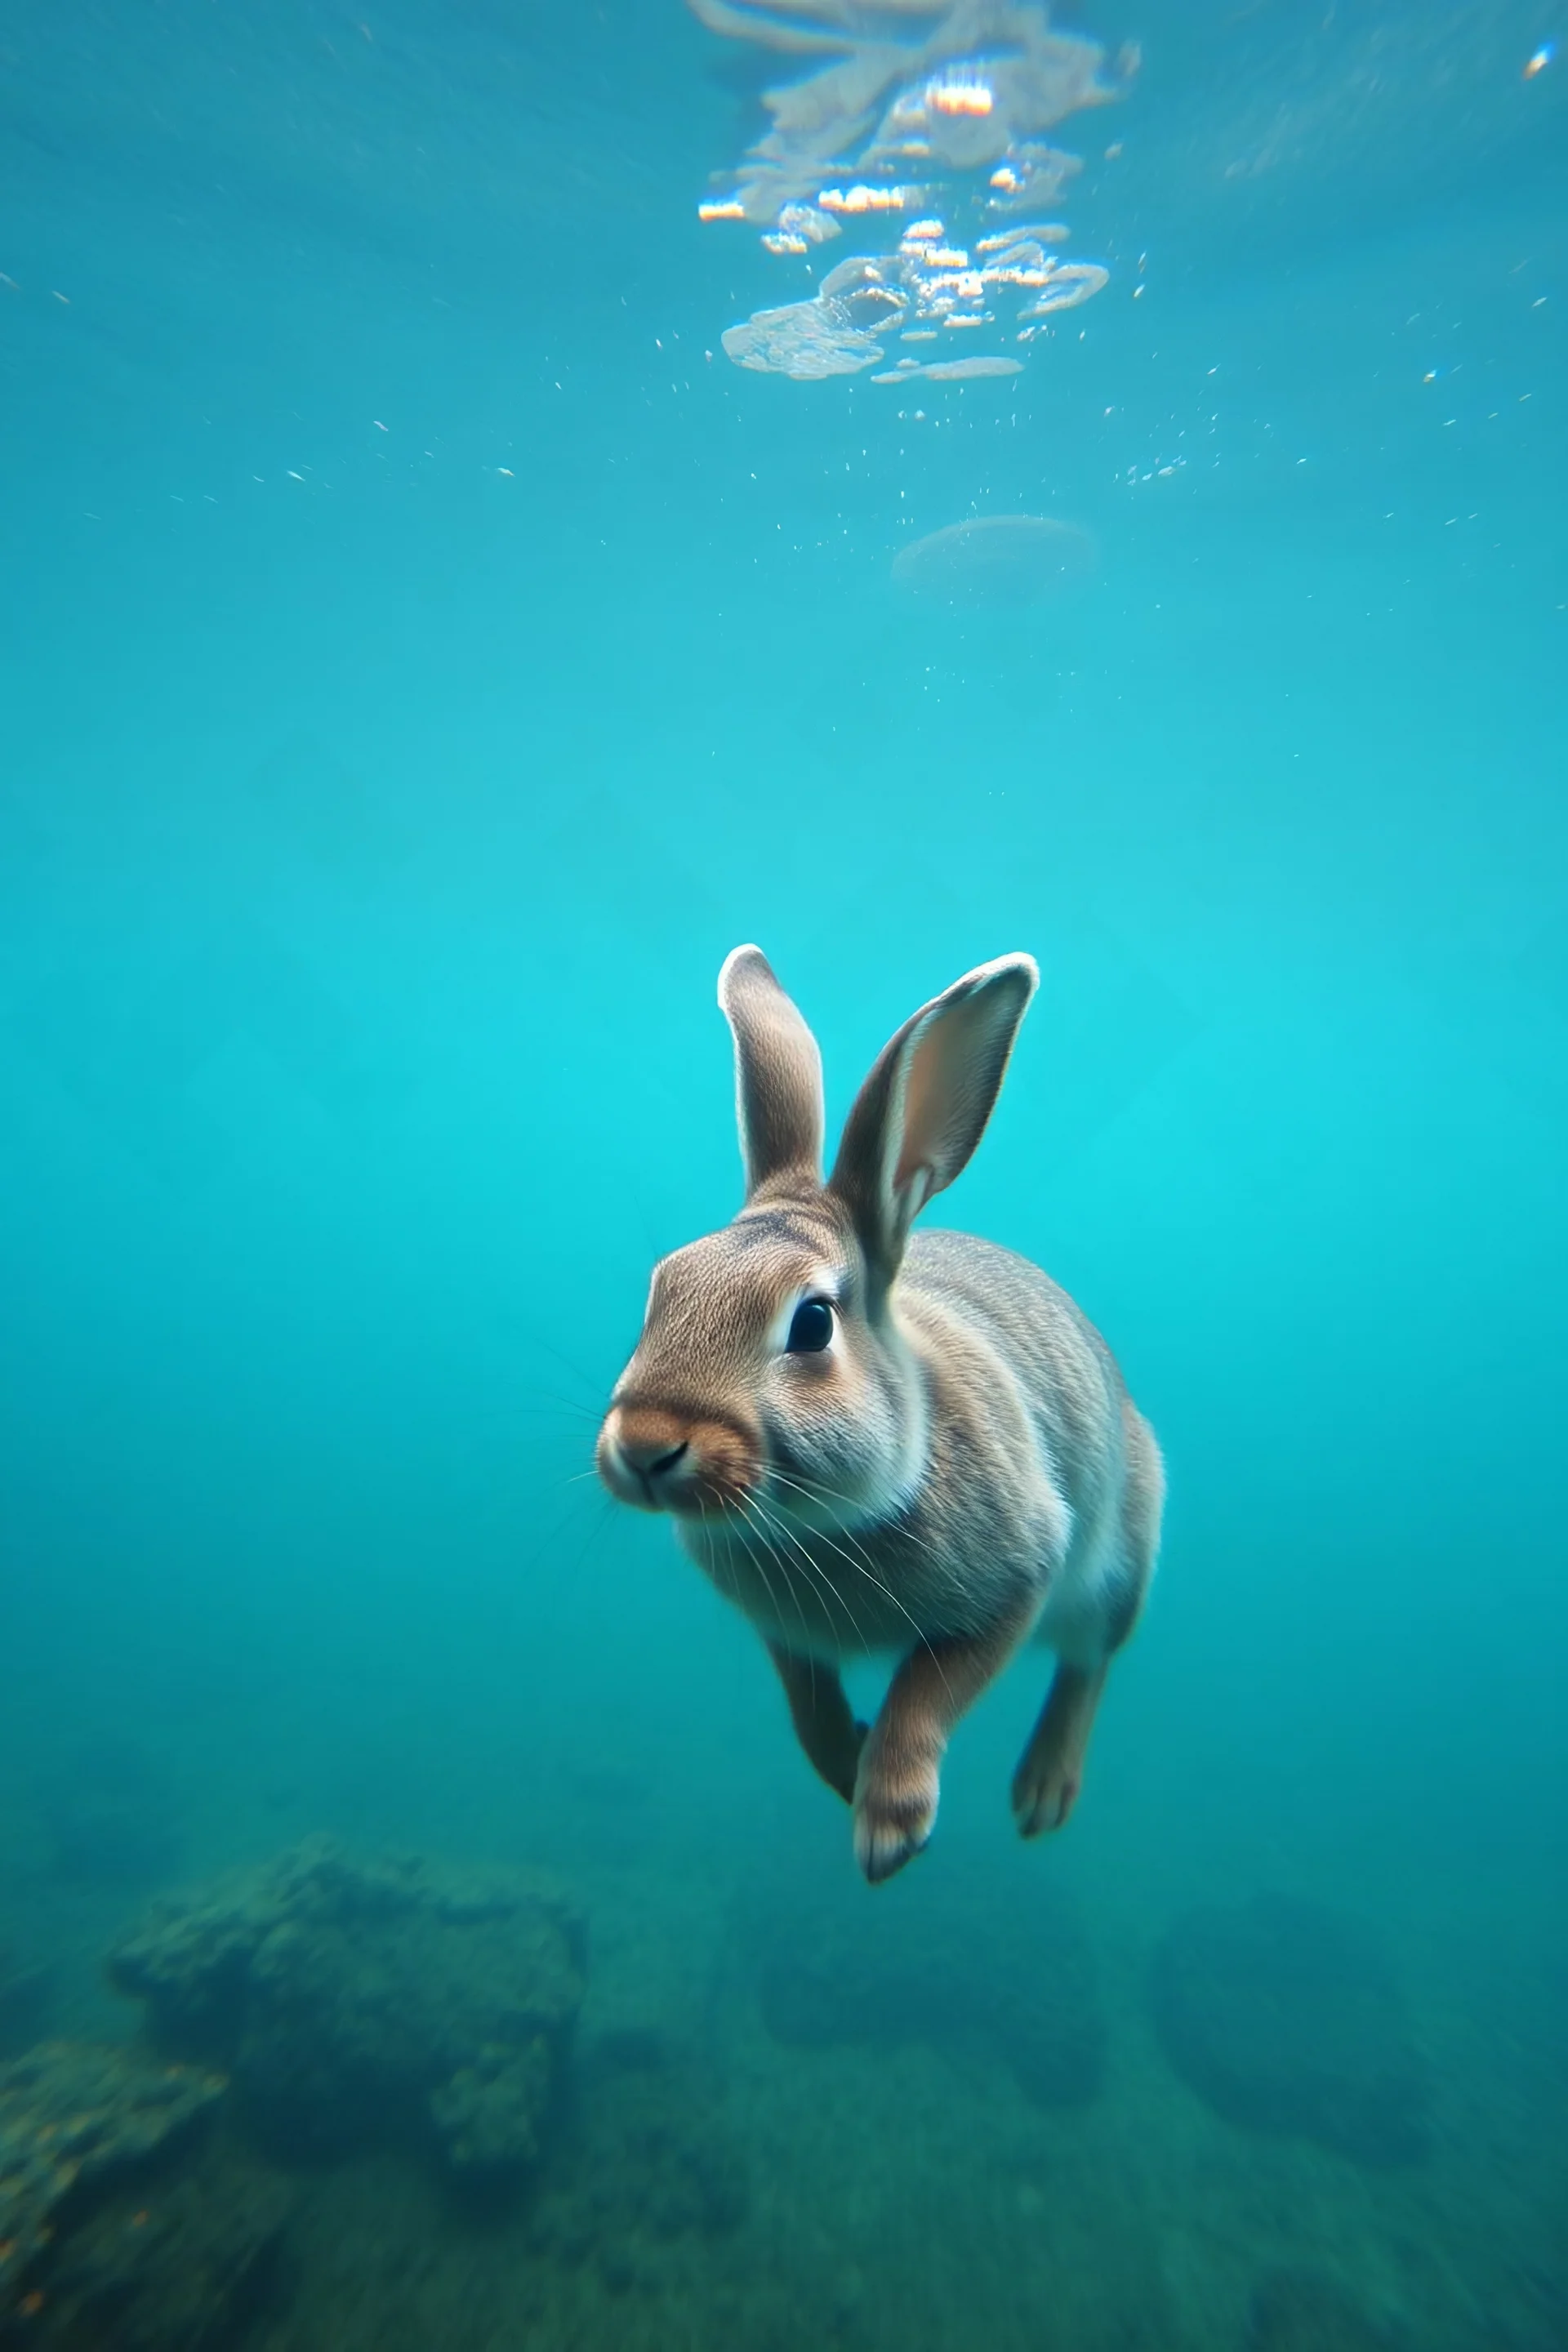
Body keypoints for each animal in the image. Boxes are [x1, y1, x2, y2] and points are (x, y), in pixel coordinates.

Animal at [596, 945, 1163, 1882]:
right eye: (660, 1290)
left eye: (813, 1323)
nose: (644, 1448)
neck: (821, 1520)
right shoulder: (783, 1634)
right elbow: (808, 1706)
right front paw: (844, 1761)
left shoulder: (1020, 1581)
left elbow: (925, 1696)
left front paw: (889, 1823)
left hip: (1117, 1565)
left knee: (1088, 1664)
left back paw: (1042, 1796)